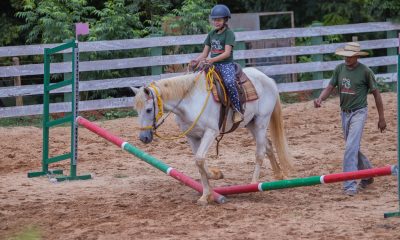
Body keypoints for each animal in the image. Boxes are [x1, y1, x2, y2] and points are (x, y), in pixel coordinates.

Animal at [133, 67, 292, 204]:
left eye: (148, 109)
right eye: (137, 110)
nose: (143, 137)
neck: (190, 101)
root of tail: (268, 79)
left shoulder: (210, 132)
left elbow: (199, 159)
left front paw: (214, 178)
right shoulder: (192, 136)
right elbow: (200, 162)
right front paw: (207, 193)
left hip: (261, 122)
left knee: (260, 152)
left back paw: (253, 185)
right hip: (251, 123)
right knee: (268, 146)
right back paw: (279, 175)